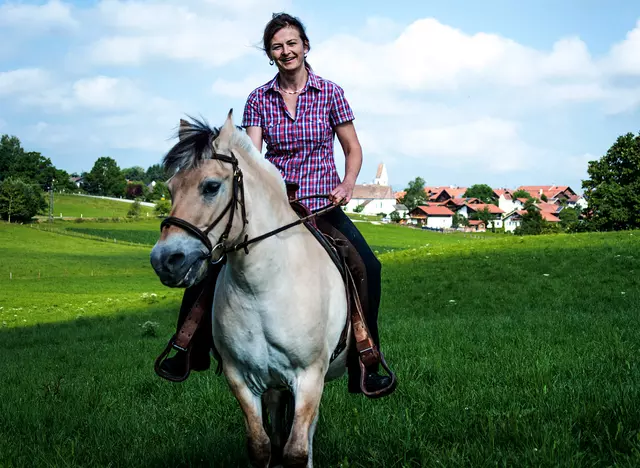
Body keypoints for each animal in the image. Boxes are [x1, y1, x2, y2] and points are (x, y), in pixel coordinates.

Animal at [149, 111, 350, 466]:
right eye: (170, 189)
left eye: (211, 186)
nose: (164, 260)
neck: (263, 287)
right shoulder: (241, 377)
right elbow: (261, 445)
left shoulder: (310, 377)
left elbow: (297, 451)